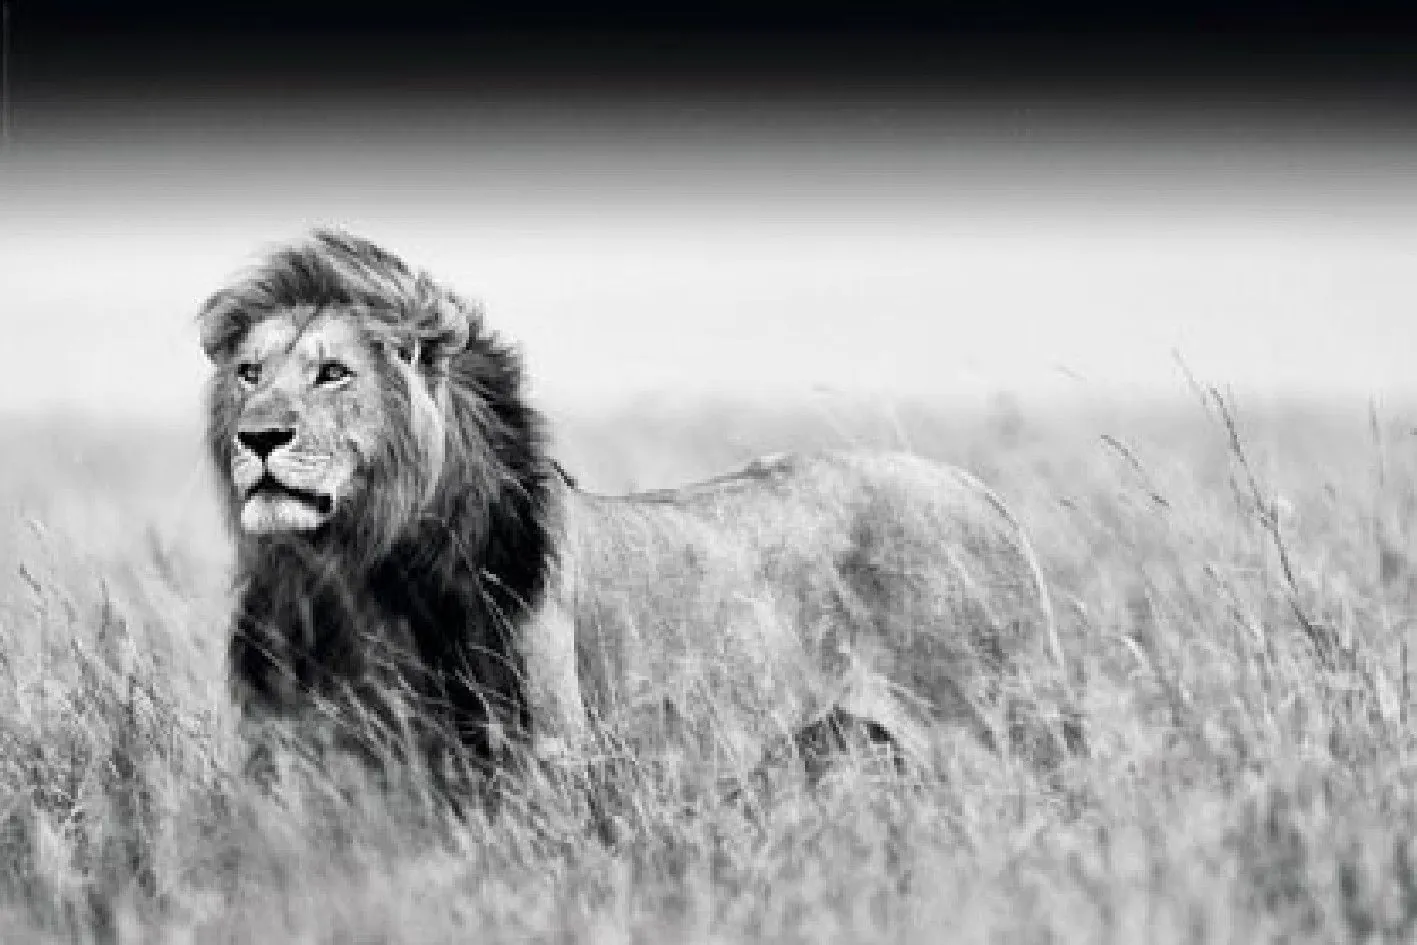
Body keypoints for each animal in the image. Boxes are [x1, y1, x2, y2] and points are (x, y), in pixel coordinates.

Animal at [198, 229, 1071, 785]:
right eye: (249, 372)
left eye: (333, 373)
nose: (259, 436)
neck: (351, 570)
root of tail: (975, 488)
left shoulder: (539, 762)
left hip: (998, 738)